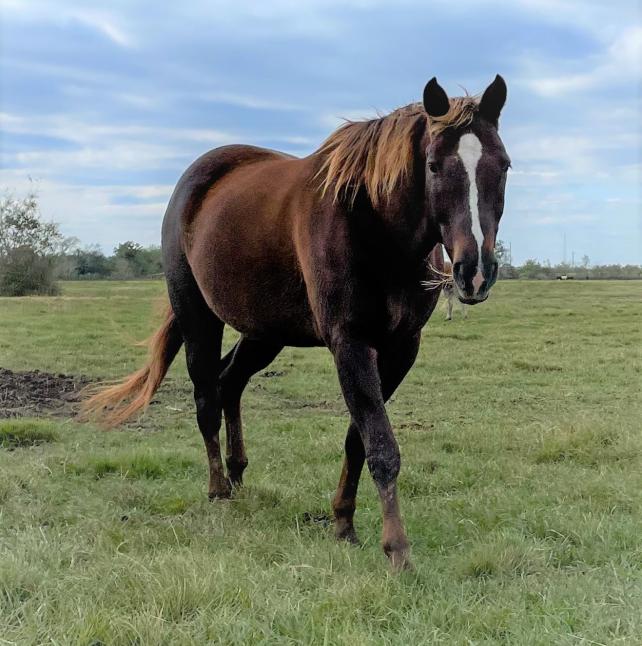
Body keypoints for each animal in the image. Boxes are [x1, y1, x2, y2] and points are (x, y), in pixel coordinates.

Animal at [83, 75, 510, 570]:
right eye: (434, 166)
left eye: (504, 165)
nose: (474, 271)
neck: (374, 226)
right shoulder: (350, 343)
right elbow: (381, 445)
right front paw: (397, 549)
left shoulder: (401, 348)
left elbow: (359, 439)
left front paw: (343, 523)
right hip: (198, 318)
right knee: (207, 395)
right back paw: (219, 490)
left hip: (264, 333)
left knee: (230, 383)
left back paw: (239, 475)